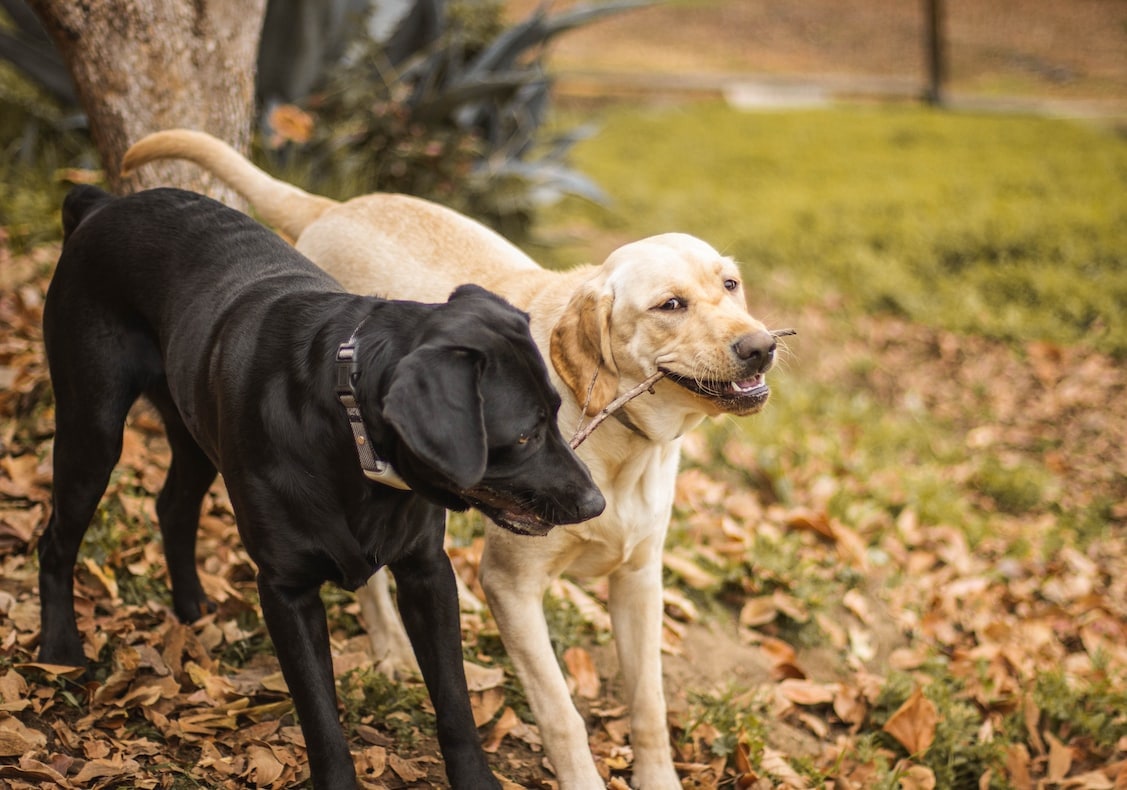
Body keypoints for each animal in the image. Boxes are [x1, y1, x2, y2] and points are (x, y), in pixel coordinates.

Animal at [35, 185, 604, 788]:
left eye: (557, 411)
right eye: (524, 434)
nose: (596, 504)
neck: (347, 431)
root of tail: (103, 204)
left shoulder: (427, 573)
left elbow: (455, 703)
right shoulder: (287, 592)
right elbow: (321, 721)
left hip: (190, 431)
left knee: (172, 506)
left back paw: (191, 608)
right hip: (92, 429)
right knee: (56, 542)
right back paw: (59, 649)